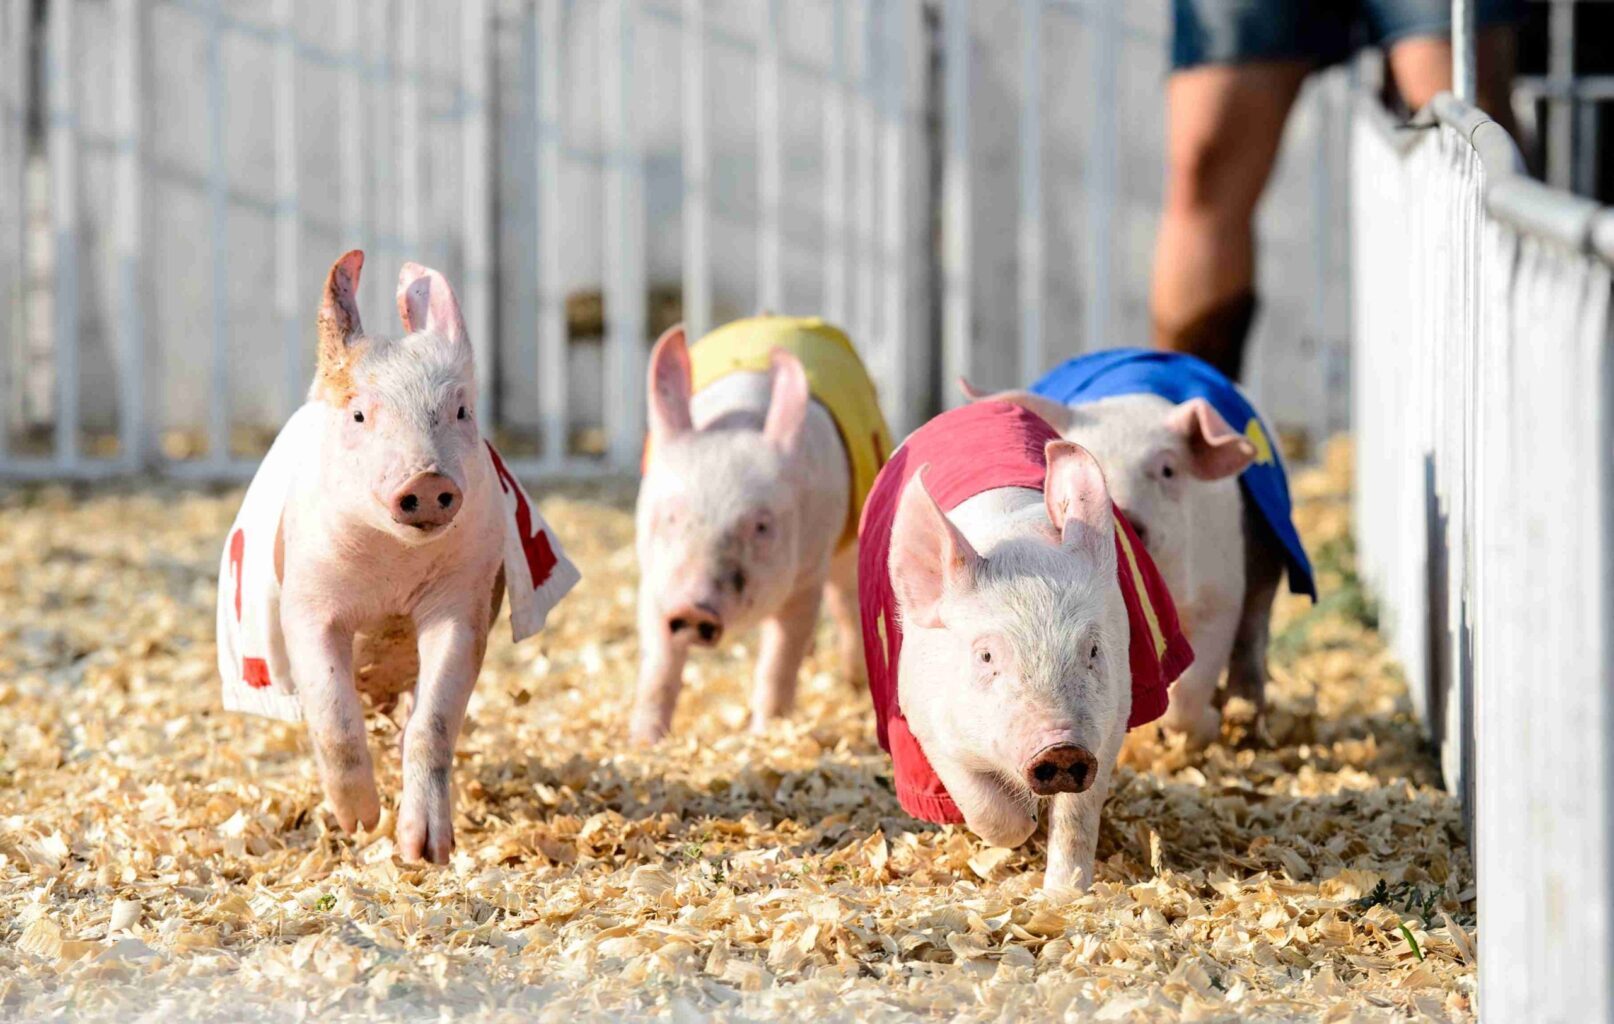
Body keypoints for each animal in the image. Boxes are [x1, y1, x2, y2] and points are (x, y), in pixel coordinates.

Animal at [630, 324, 866, 744]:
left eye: (761, 526)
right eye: (671, 516)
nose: (692, 608)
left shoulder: (806, 579)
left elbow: (779, 661)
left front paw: (764, 734)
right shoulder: (655, 584)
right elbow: (657, 666)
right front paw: (644, 743)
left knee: (845, 604)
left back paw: (855, 685)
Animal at [960, 369, 1303, 747]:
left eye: (1168, 470)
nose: (1124, 514)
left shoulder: (1220, 592)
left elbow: (1192, 686)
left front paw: (1205, 728)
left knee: (1253, 633)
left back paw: (1244, 718)